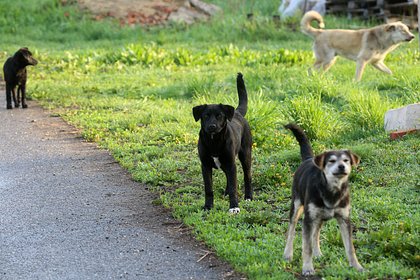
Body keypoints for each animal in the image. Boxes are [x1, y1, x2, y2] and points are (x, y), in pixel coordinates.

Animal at [193, 73, 253, 213]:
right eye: (205, 116)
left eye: (219, 115)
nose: (212, 126)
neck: (214, 141)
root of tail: (237, 112)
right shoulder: (205, 166)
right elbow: (209, 189)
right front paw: (208, 206)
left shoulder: (231, 163)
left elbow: (233, 187)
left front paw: (234, 207)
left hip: (245, 155)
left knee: (247, 176)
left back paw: (248, 197)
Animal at [282, 124, 364, 276]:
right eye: (331, 161)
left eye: (346, 160)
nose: (342, 166)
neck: (332, 190)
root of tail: (308, 159)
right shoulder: (308, 219)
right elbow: (306, 246)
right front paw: (307, 268)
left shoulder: (345, 219)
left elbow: (350, 247)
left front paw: (357, 267)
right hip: (297, 206)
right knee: (291, 230)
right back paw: (288, 254)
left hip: (319, 216)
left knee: (316, 233)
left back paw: (317, 253)